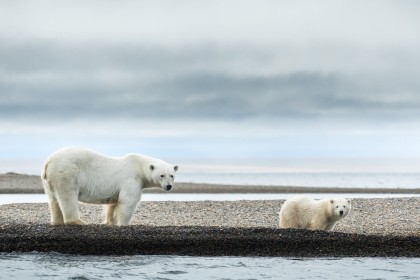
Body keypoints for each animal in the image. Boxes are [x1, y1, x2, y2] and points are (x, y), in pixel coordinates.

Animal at [42, 148, 179, 226]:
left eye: (172, 175)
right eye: (162, 175)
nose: (168, 186)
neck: (139, 167)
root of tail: (48, 162)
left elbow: (113, 204)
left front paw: (110, 222)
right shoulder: (131, 180)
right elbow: (128, 203)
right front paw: (125, 224)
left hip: (49, 180)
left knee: (53, 199)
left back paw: (57, 222)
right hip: (67, 172)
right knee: (68, 196)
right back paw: (78, 221)